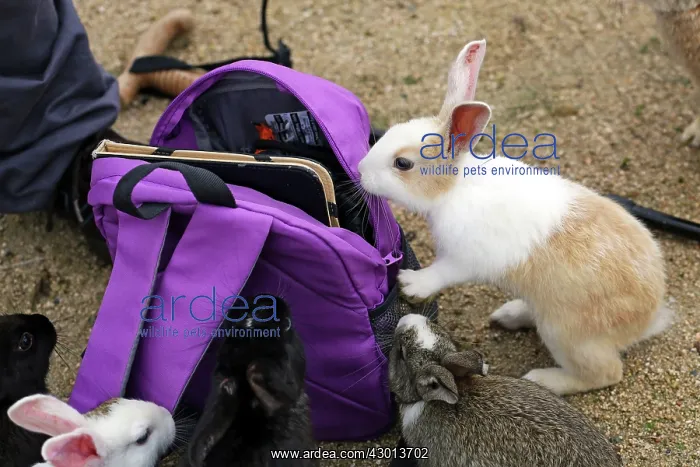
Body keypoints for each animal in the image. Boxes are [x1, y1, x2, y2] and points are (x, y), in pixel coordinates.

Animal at [357, 38, 672, 396]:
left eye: (403, 164)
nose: (360, 171)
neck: (453, 188)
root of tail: (647, 318)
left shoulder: (463, 259)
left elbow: (440, 273)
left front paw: (411, 284)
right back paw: (508, 316)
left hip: (566, 334)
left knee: (605, 373)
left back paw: (541, 379)